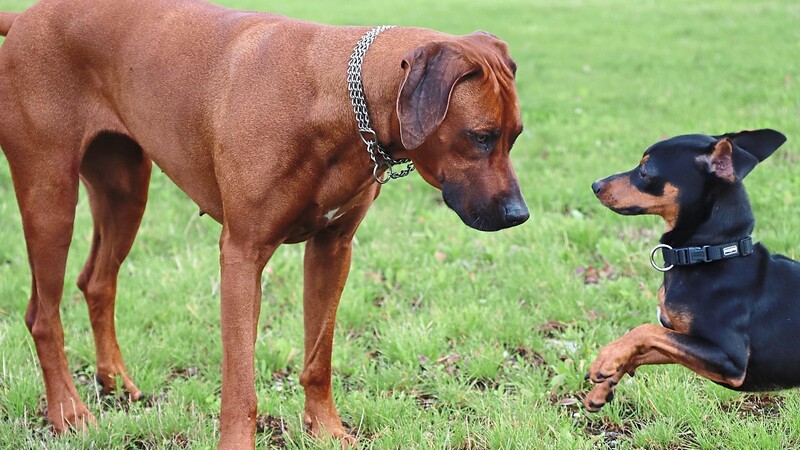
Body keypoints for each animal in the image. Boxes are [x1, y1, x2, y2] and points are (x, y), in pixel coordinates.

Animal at [0, 0, 528, 446]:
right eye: (480, 136)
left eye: (516, 136)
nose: (519, 215)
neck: (334, 95)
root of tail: (26, 16)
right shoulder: (242, 254)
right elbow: (240, 384)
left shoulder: (332, 248)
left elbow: (319, 357)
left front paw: (327, 429)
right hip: (50, 196)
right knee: (42, 314)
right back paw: (68, 412)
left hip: (125, 191)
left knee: (97, 281)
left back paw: (113, 380)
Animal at [588, 129, 792, 412]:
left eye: (644, 171)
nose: (595, 185)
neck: (709, 255)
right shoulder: (685, 340)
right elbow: (645, 347)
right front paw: (603, 385)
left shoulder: (731, 361)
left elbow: (645, 330)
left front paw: (606, 358)